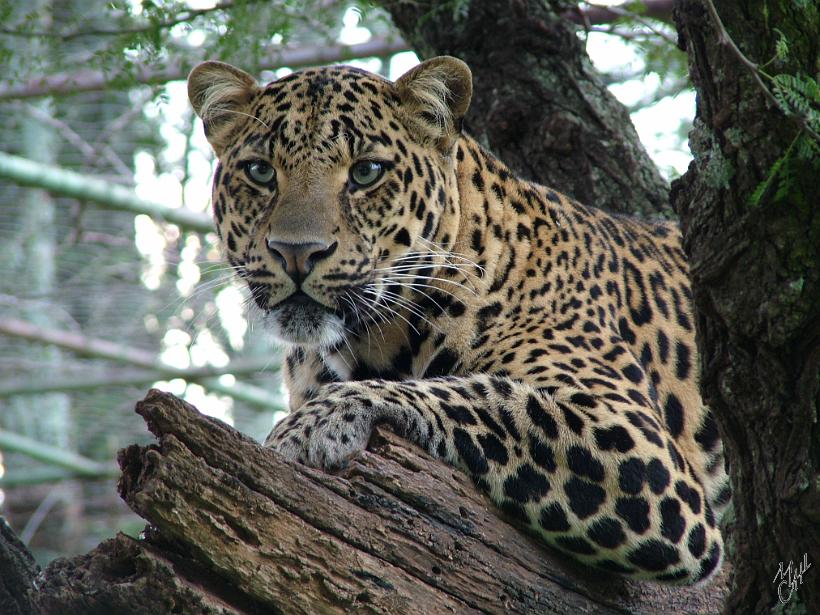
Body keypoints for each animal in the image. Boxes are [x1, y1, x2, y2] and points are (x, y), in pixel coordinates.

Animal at [187, 56, 730, 584]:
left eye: (366, 172)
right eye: (260, 171)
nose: (296, 253)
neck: (371, 341)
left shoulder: (638, 444)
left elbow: (483, 394)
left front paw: (313, 424)